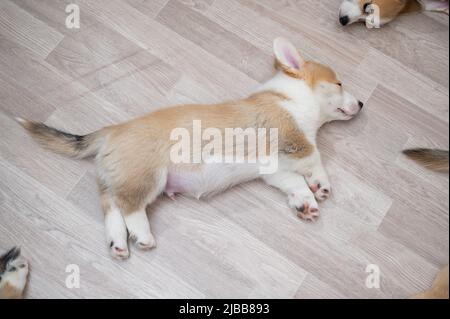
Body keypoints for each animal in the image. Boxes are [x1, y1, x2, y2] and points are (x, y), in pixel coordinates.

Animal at [17, 38, 364, 262]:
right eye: (339, 84)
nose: (361, 103)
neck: (291, 97)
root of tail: (110, 131)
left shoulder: (274, 170)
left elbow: (294, 184)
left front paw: (306, 203)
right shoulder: (295, 140)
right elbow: (315, 159)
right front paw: (322, 186)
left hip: (116, 181)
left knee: (112, 208)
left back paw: (118, 244)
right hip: (148, 178)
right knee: (130, 208)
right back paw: (142, 236)